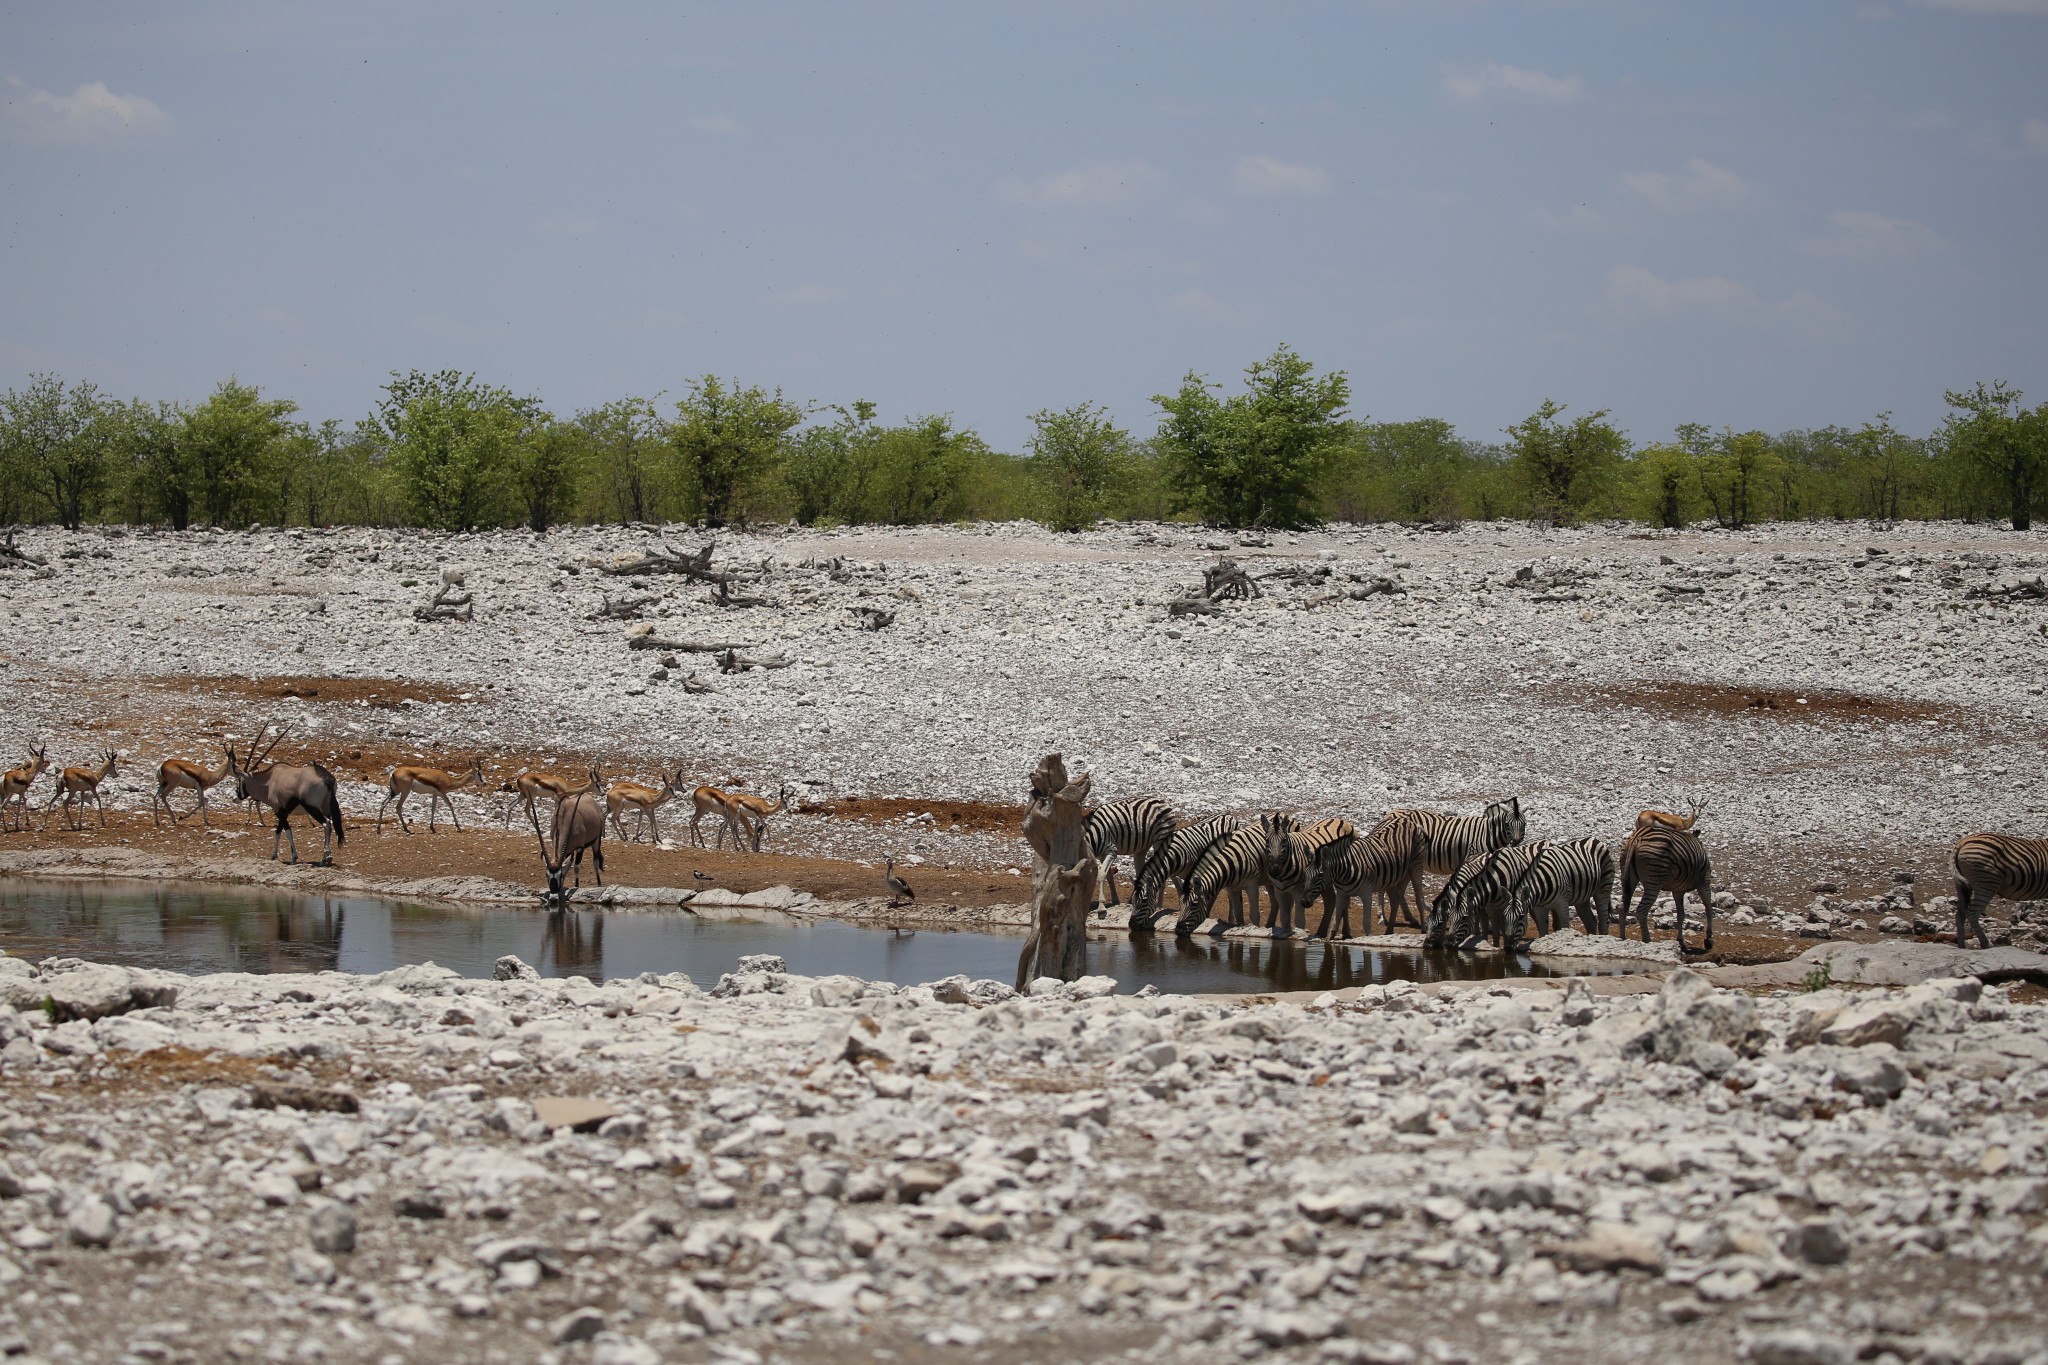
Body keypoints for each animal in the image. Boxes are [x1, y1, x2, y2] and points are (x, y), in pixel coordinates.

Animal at [1613, 826, 1712, 957]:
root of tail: (1638, 837)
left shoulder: (1678, 890)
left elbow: (1681, 915)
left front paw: (1681, 942)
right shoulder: (1704, 881)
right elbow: (1708, 908)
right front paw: (1709, 939)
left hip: (1627, 877)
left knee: (1622, 907)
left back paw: (1622, 938)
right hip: (1654, 880)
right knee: (1641, 910)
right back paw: (1647, 941)